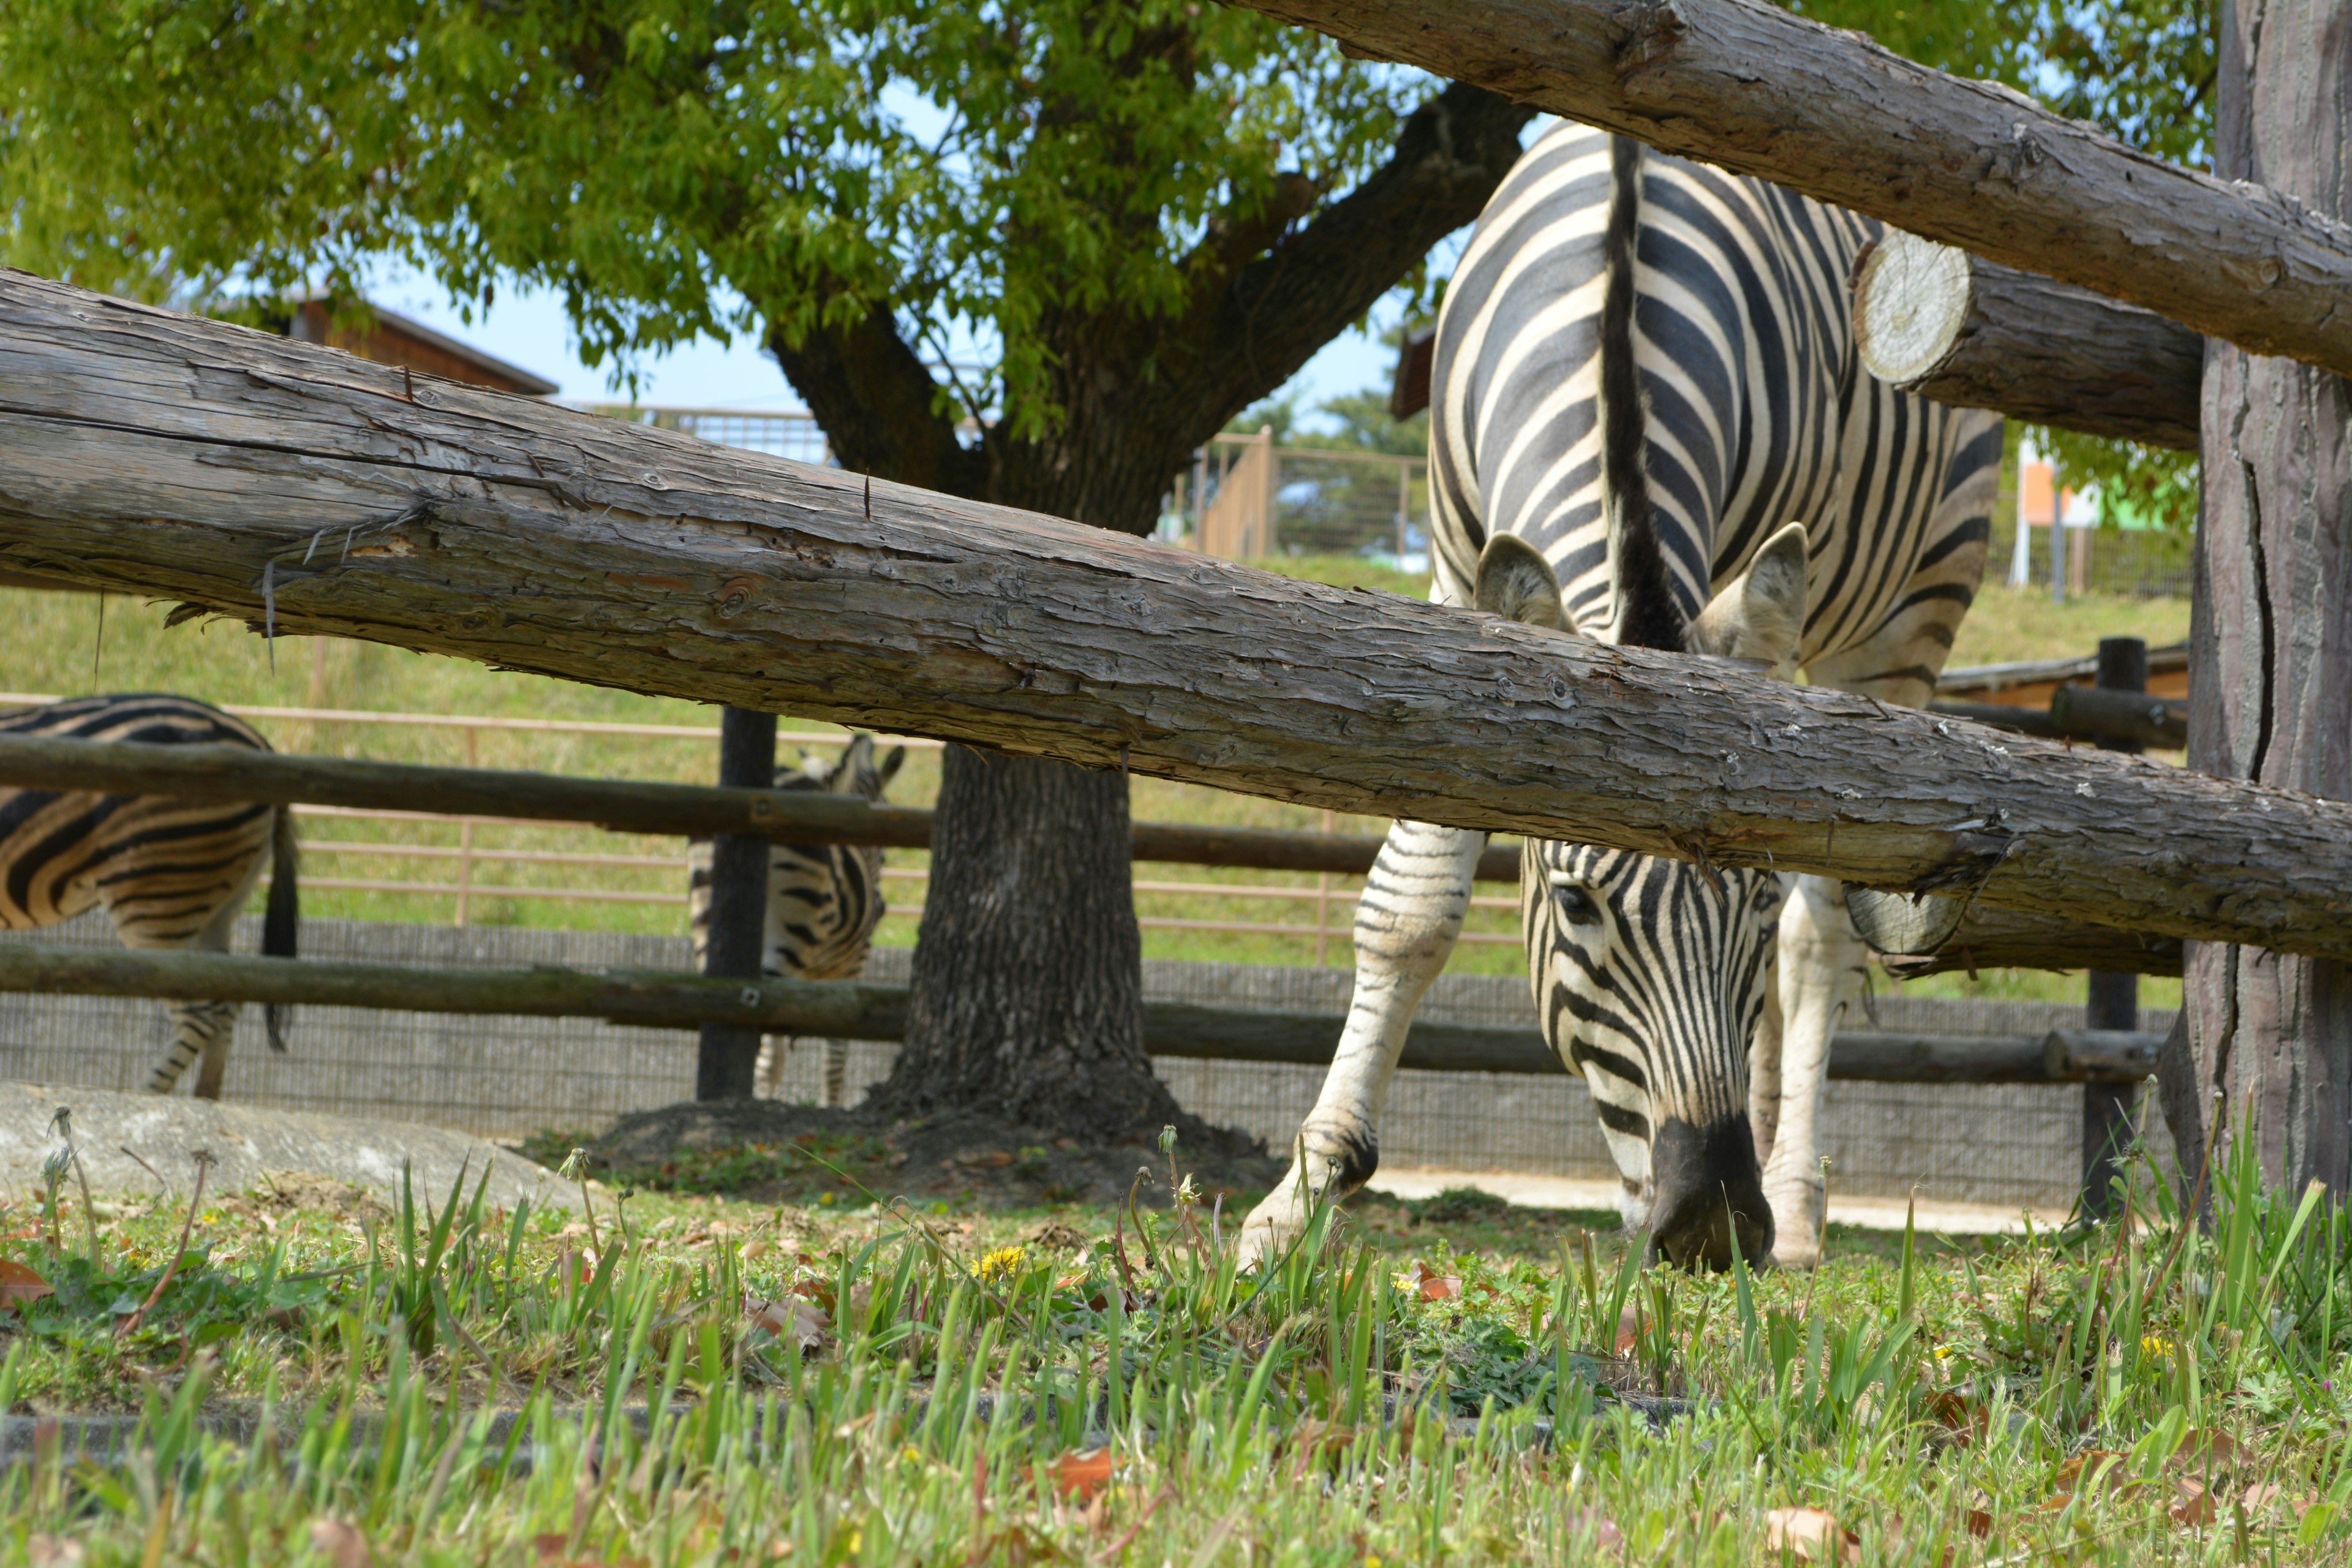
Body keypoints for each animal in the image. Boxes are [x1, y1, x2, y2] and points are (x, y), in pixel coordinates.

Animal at [0, 691, 303, 1109]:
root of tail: (261, 744)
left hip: (156, 897)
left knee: (202, 1016)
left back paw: (144, 1101)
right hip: (216, 905)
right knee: (226, 1005)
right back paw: (205, 1103)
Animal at [687, 733, 903, 1104]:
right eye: (884, 853)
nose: (881, 908)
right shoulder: (848, 970)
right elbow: (835, 1056)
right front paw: (830, 1107)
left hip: (708, 923)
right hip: (790, 939)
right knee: (762, 1046)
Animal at [1242, 123, 1994, 1278]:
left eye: (1749, 903)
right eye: (1577, 907)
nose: (1713, 1226)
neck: (1611, 304)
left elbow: (1787, 936)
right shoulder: (1456, 572)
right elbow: (1410, 905)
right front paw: (1299, 1199)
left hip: (1909, 613)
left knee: (1821, 942)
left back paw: (1798, 1202)